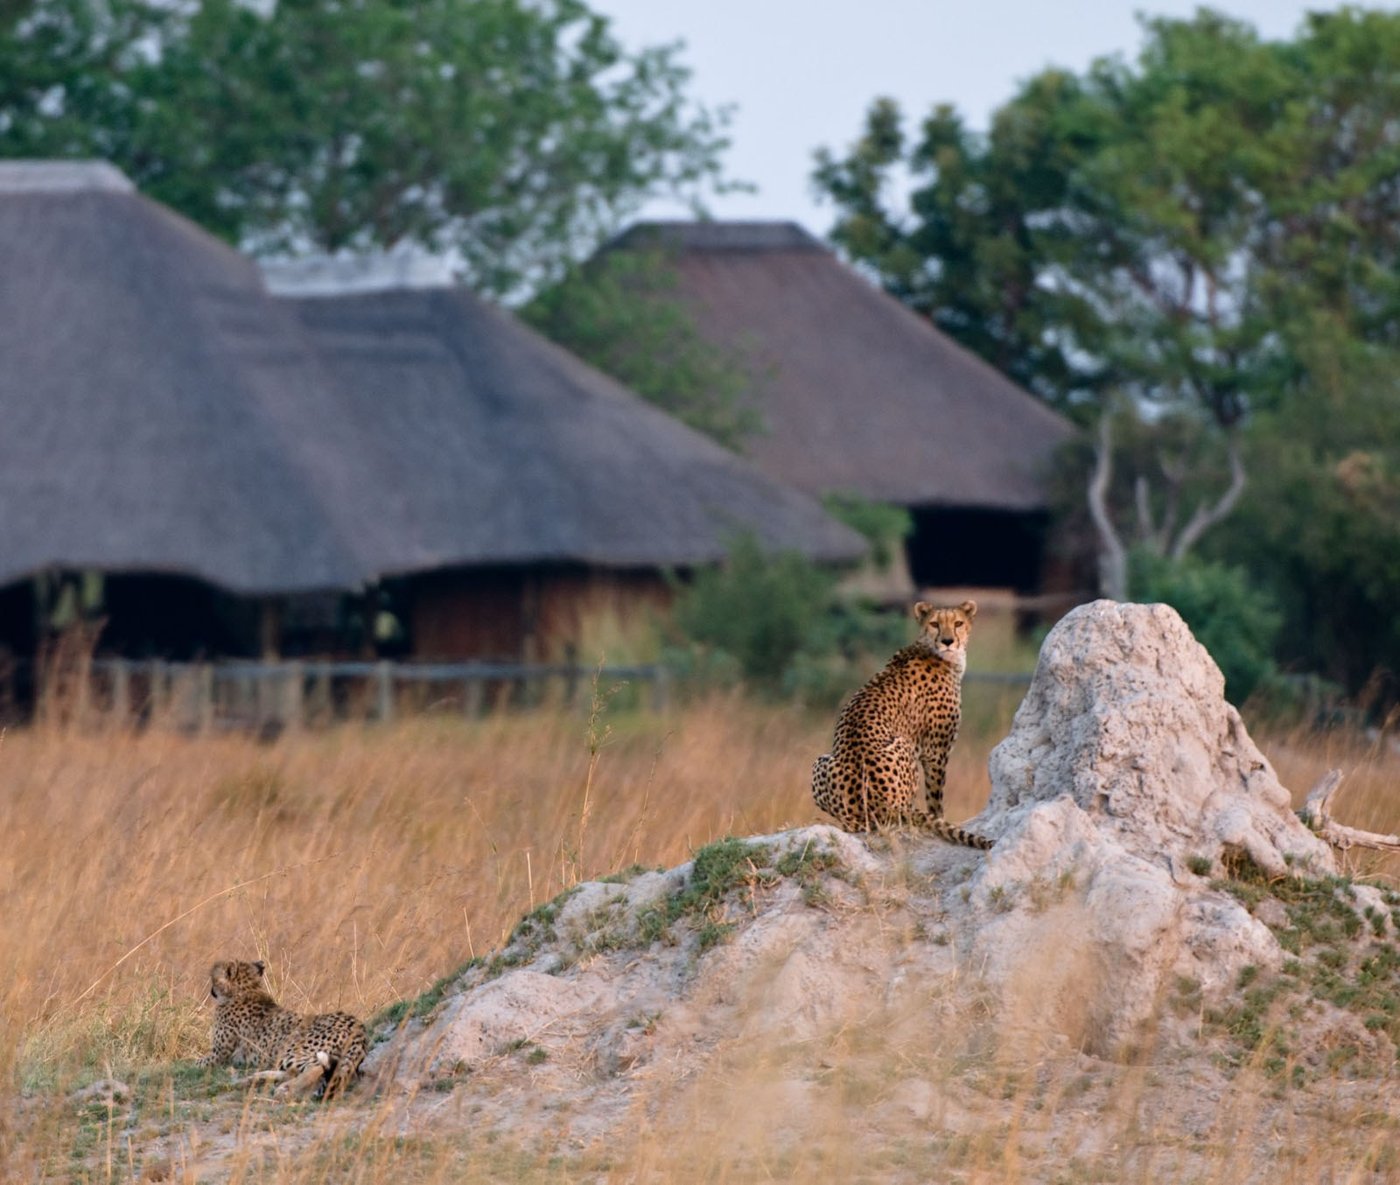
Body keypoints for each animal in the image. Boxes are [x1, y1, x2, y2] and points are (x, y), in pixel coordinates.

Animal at [196, 959, 367, 1099]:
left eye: (213, 979)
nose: (212, 991)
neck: (246, 989)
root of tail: (358, 1025)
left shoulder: (218, 1056)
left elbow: (197, 1063)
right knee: (293, 1071)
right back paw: (254, 1078)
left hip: (291, 1048)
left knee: (314, 1067)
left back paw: (284, 1089)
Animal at [812, 598, 992, 849]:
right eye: (935, 624)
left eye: (958, 623)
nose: (948, 641)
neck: (932, 651)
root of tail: (879, 805)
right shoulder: (936, 752)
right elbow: (935, 799)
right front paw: (940, 820)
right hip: (902, 745)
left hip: (823, 761)